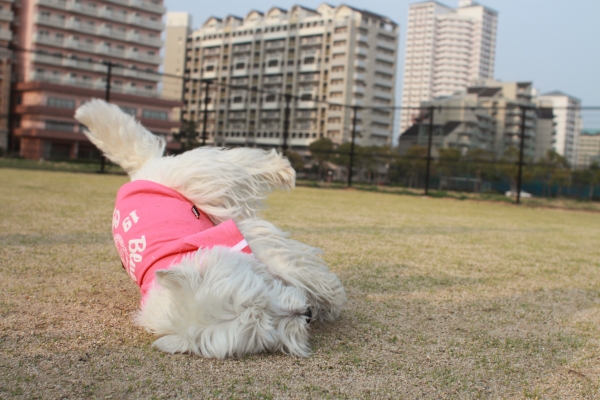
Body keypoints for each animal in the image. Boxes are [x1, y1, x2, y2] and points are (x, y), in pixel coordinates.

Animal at [75, 99, 346, 360]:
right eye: (264, 330)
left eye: (260, 296)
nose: (307, 314)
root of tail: (139, 171)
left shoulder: (240, 237)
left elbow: (290, 267)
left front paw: (330, 296)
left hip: (204, 181)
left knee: (239, 166)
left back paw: (282, 168)